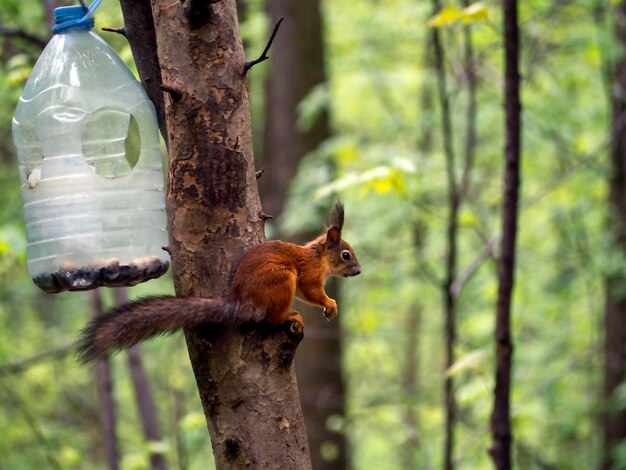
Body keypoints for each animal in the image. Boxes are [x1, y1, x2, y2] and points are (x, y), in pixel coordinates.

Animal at [77, 203, 360, 364]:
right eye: (346, 255)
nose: (358, 271)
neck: (318, 256)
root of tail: (242, 301)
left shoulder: (302, 282)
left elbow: (305, 293)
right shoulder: (309, 274)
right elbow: (313, 292)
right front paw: (330, 303)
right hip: (281, 278)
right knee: (271, 318)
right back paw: (290, 316)